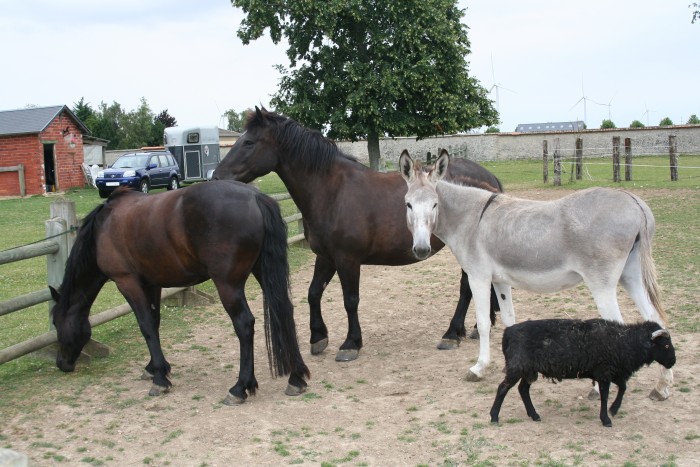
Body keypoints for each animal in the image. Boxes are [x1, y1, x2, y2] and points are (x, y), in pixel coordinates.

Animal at [50, 181, 310, 405]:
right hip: (262, 272)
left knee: (244, 324)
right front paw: (154, 367)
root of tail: (255, 197)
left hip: (228, 285)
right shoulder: (151, 283)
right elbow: (154, 322)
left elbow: (145, 325)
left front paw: (159, 379)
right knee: (284, 309)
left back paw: (239, 388)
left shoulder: (127, 282)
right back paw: (296, 378)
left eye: (55, 323)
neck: (103, 227)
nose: (62, 364)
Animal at [212, 107, 502, 362]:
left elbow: (350, 300)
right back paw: (474, 328)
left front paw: (351, 343)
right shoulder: (325, 257)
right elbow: (313, 293)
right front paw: (318, 338)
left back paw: (452, 333)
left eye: (249, 142)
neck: (332, 191)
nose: (217, 177)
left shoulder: (347, 259)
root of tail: (489, 179)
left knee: (467, 288)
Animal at [399, 149, 673, 401]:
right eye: (408, 204)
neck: (472, 219)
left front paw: (478, 368)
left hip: (602, 283)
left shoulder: (478, 277)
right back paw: (662, 386)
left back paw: (598, 388)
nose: (421, 250)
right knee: (657, 320)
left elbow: (485, 323)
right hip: (630, 275)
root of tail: (633, 200)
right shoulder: (500, 280)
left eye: (434, 204)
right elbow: (509, 320)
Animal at [489, 318, 676, 427]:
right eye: (666, 345)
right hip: (518, 367)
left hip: (529, 369)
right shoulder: (604, 373)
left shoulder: (613, 372)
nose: (673, 361)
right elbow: (605, 395)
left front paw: (613, 410)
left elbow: (623, 388)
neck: (624, 341)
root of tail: (508, 332)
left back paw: (534, 415)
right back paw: (494, 417)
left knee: (523, 389)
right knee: (502, 388)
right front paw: (606, 419)